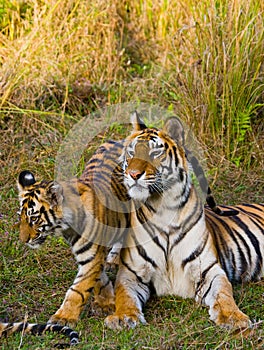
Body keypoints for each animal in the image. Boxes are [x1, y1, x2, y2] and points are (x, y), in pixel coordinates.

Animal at [104, 113, 262, 330]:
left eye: (154, 153)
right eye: (131, 152)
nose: (133, 175)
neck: (163, 209)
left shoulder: (209, 270)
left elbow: (224, 294)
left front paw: (234, 318)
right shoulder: (131, 273)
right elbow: (124, 296)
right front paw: (123, 317)